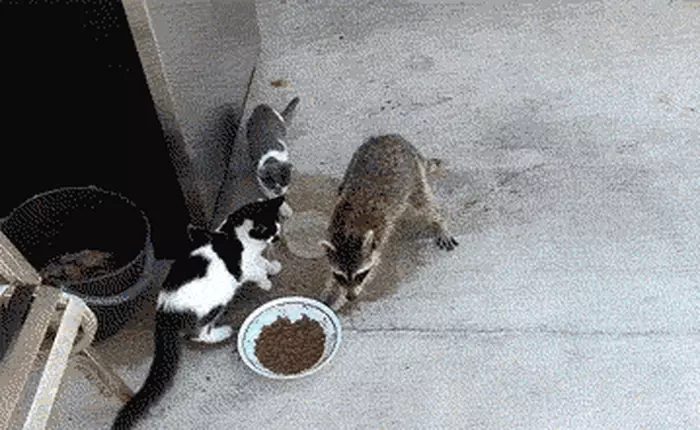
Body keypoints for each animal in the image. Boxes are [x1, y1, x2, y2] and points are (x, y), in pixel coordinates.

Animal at [320, 134, 458, 310]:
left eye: (360, 275)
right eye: (340, 276)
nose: (351, 297)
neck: (348, 231)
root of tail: (393, 137)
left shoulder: (377, 241)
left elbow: (374, 265)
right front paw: (330, 298)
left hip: (413, 177)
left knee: (425, 203)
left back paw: (439, 222)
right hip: (354, 162)